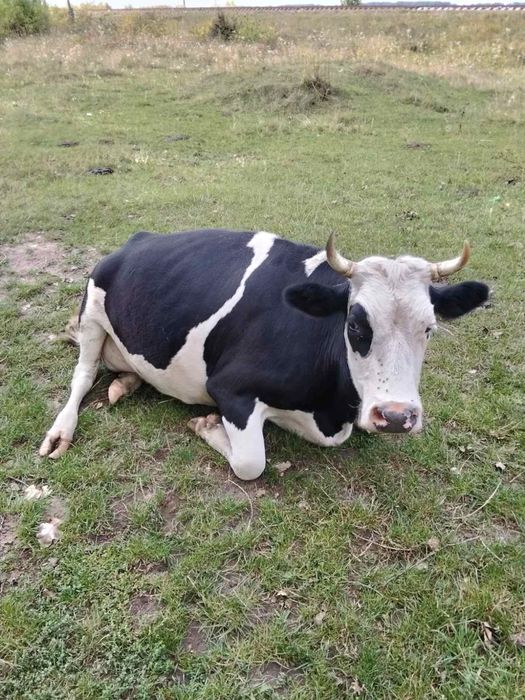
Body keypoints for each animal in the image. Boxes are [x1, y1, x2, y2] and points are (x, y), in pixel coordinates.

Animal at [39, 229, 489, 480]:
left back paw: (126, 382)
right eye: (355, 326)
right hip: (92, 312)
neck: (330, 404)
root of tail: (140, 237)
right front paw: (206, 425)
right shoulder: (229, 387)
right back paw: (61, 430)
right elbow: (250, 462)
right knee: (82, 376)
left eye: (428, 329)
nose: (396, 416)